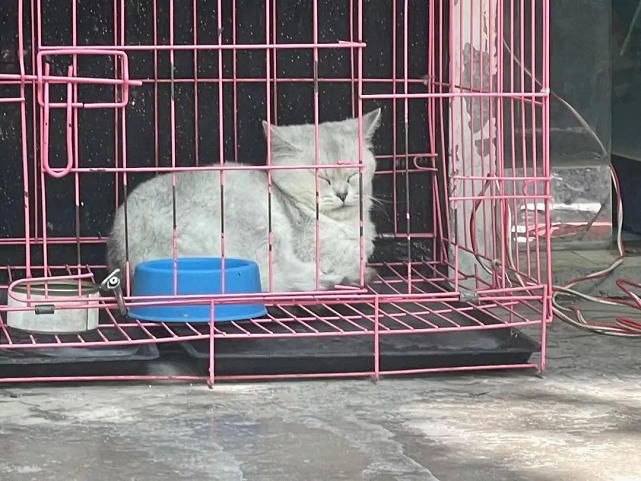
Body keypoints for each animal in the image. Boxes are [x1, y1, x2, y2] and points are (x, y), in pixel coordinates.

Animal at [107, 108, 382, 292]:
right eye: (321, 176)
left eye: (354, 173)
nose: (342, 193)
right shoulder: (311, 246)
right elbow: (350, 253)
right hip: (262, 225)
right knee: (280, 276)